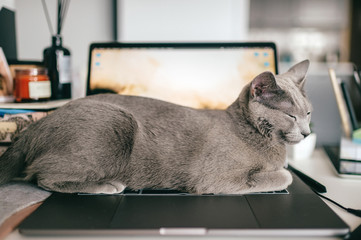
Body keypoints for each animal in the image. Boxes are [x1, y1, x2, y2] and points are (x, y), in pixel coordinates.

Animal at [0, 60, 310, 195]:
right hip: (117, 120)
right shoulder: (217, 179)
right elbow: (285, 176)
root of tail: (31, 130)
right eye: (291, 116)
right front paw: (281, 173)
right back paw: (107, 185)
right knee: (42, 177)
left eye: (308, 113)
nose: (307, 132)